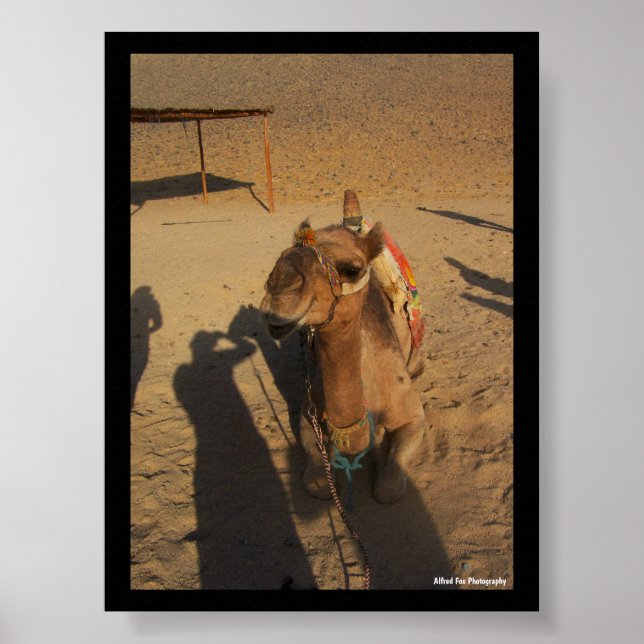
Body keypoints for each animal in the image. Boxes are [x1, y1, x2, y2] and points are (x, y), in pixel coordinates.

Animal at [260, 191, 425, 504]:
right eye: (282, 255)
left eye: (352, 269)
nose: (278, 291)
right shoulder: (309, 412)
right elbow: (317, 482)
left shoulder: (413, 416)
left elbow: (389, 488)